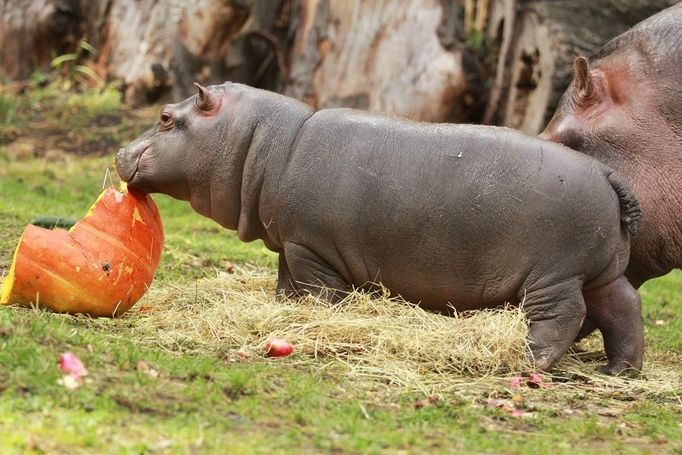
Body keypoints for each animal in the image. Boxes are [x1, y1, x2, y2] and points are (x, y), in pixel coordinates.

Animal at [117, 82, 644, 374]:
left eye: (166, 117)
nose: (120, 152)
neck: (266, 142)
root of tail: (607, 173)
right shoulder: (292, 243)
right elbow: (286, 286)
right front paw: (285, 313)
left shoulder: (312, 249)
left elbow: (318, 294)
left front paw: (318, 323)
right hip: (599, 271)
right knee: (622, 308)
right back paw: (619, 371)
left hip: (555, 275)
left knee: (563, 316)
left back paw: (530, 361)